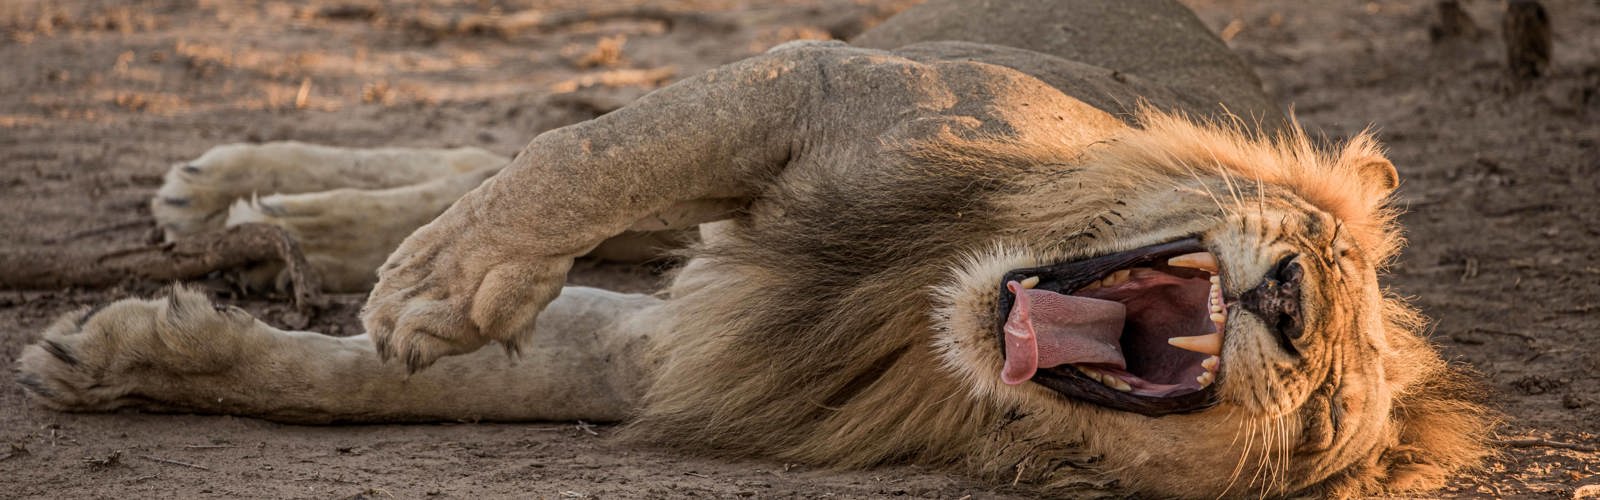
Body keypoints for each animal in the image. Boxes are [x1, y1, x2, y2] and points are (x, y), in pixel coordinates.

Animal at [15, 0, 1491, 497]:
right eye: (1318, 250)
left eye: (1322, 420)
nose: (1289, 303)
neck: (924, 312)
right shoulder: (826, 86)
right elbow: (589, 153)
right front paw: (440, 285)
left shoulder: (668, 350)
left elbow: (380, 383)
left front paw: (133, 358)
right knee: (492, 149)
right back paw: (247, 199)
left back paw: (277, 230)